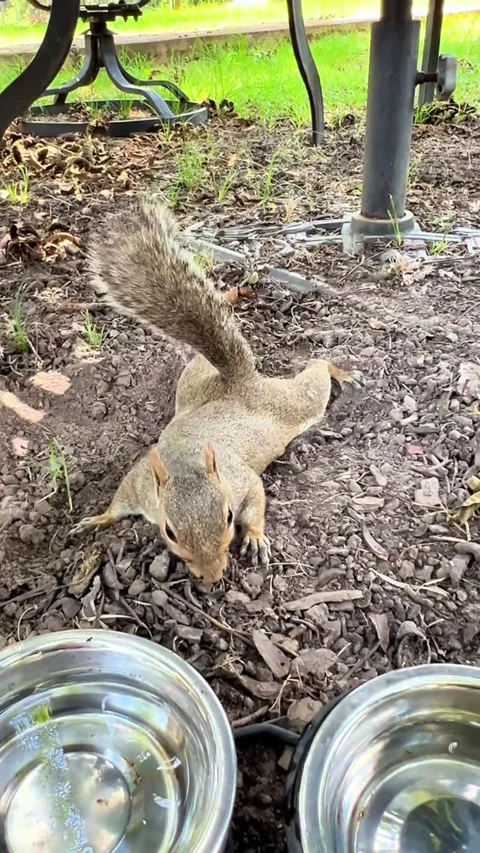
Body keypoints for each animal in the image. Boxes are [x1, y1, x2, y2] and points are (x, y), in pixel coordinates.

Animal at [74, 200, 361, 583]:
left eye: (228, 517)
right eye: (169, 532)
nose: (213, 577)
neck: (186, 462)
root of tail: (237, 378)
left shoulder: (240, 481)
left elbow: (256, 498)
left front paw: (254, 537)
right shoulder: (141, 485)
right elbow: (118, 503)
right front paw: (97, 519)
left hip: (297, 404)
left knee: (317, 369)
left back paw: (342, 372)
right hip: (192, 383)